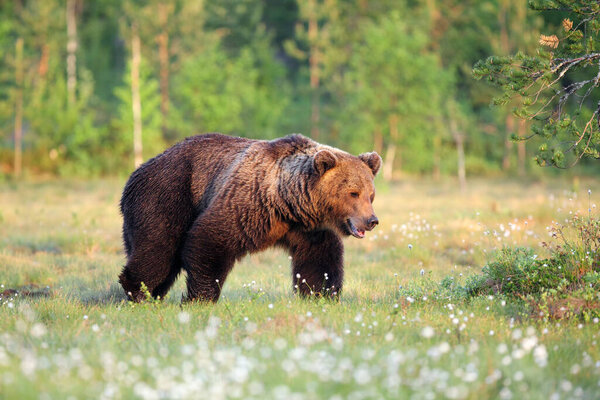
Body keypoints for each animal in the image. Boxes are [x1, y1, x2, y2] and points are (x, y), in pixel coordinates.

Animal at [118, 133, 380, 302]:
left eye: (371, 194)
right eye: (353, 192)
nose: (371, 221)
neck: (288, 201)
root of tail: (136, 172)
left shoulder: (308, 229)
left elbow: (320, 260)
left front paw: (320, 295)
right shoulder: (249, 205)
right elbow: (210, 238)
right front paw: (201, 297)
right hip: (167, 196)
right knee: (158, 248)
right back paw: (137, 290)